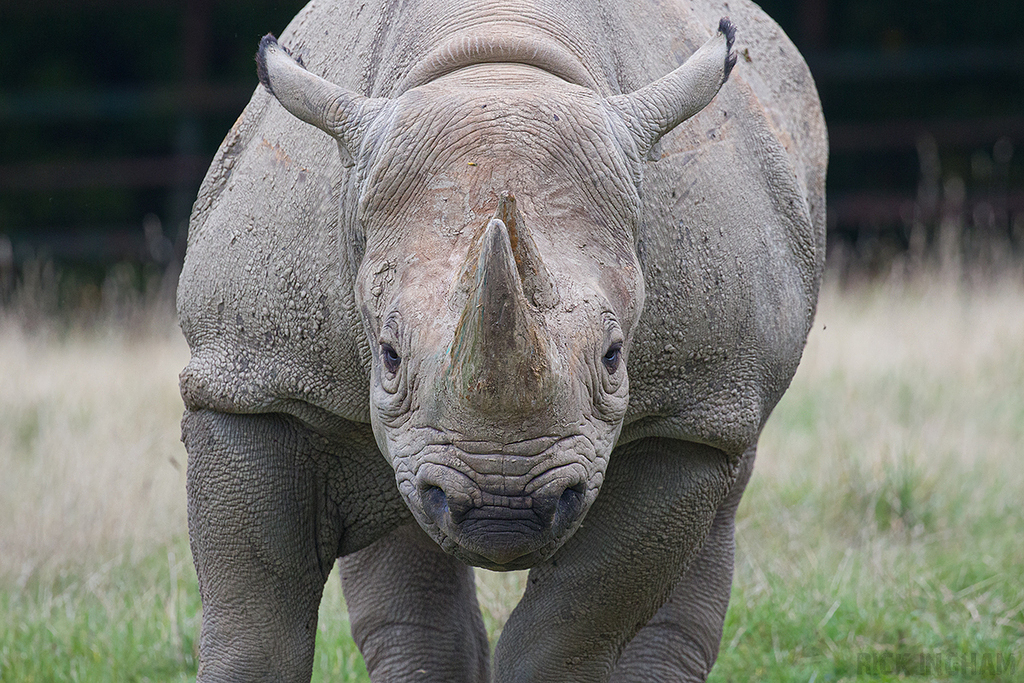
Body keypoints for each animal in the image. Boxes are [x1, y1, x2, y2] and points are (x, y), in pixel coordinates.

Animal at [177, 0, 826, 680]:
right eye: (388, 356)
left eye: (613, 357)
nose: (502, 509)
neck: (497, 66)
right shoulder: (254, 382)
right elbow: (256, 620)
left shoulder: (689, 414)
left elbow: (574, 623)